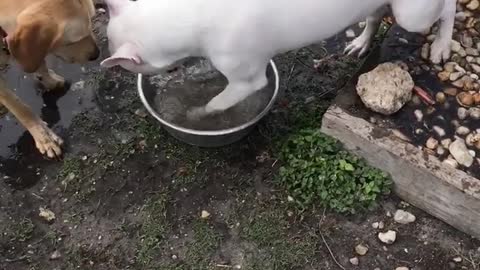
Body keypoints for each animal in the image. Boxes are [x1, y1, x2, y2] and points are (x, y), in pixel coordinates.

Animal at [100, 0, 454, 119]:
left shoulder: (247, 80)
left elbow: (217, 102)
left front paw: (195, 114)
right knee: (375, 14)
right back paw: (362, 42)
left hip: (414, 16)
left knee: (447, 8)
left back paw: (442, 44)